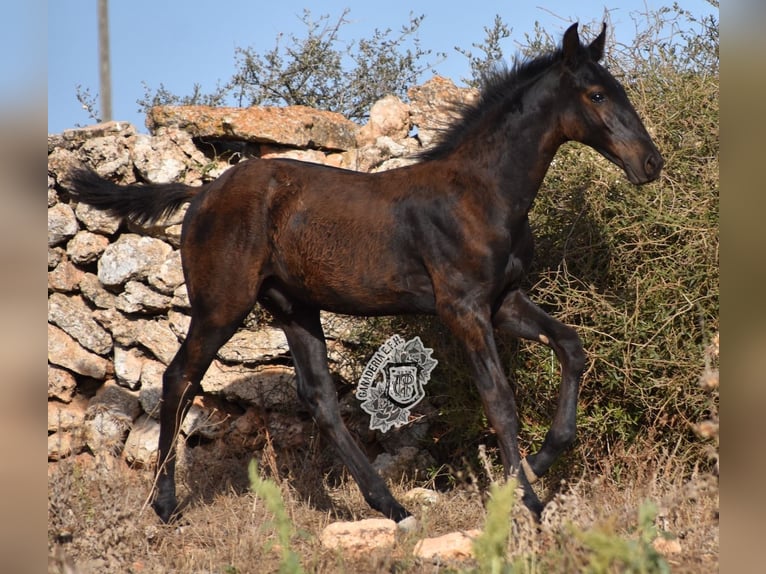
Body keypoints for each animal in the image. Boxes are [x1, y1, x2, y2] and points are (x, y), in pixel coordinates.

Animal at [67, 23, 664, 528]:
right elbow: (500, 401)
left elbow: (572, 347)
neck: (481, 194)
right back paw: (166, 505)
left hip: (294, 306)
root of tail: (201, 194)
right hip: (221, 305)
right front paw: (529, 502)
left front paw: (538, 464)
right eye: (597, 95)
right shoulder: (462, 307)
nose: (651, 163)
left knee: (320, 400)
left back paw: (393, 508)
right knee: (178, 379)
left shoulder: (503, 300)